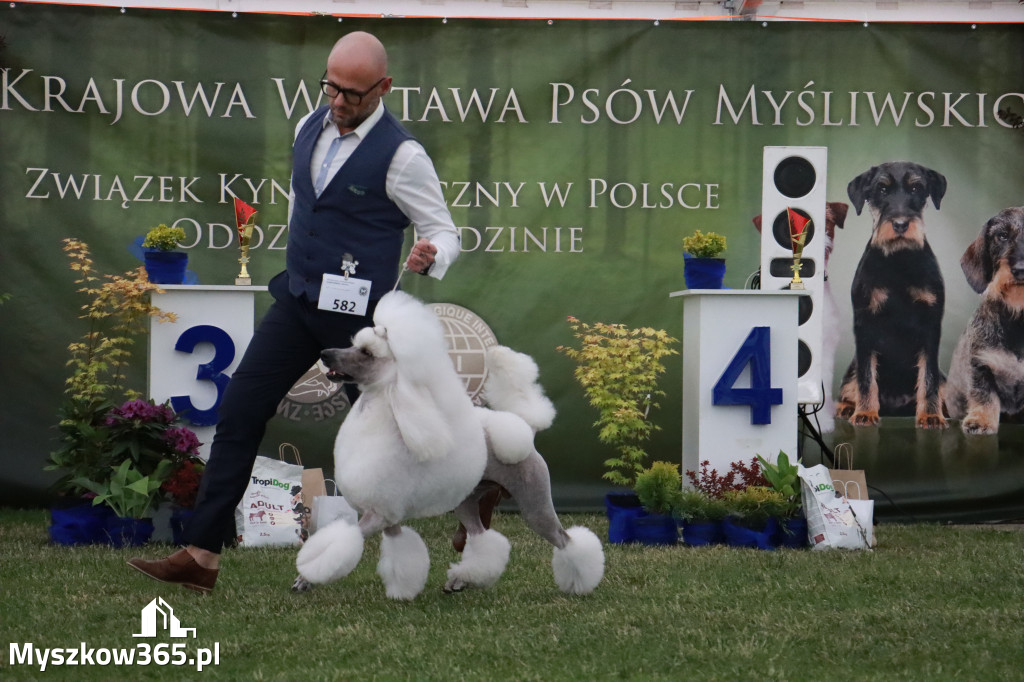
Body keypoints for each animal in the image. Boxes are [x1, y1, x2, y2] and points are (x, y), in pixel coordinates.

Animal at [835, 159, 946, 425]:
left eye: (916, 188)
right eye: (882, 189)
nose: (901, 224)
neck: (898, 260)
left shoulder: (931, 326)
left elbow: (929, 378)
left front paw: (931, 415)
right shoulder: (865, 326)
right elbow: (866, 377)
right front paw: (865, 412)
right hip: (850, 370)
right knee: (849, 386)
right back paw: (847, 408)